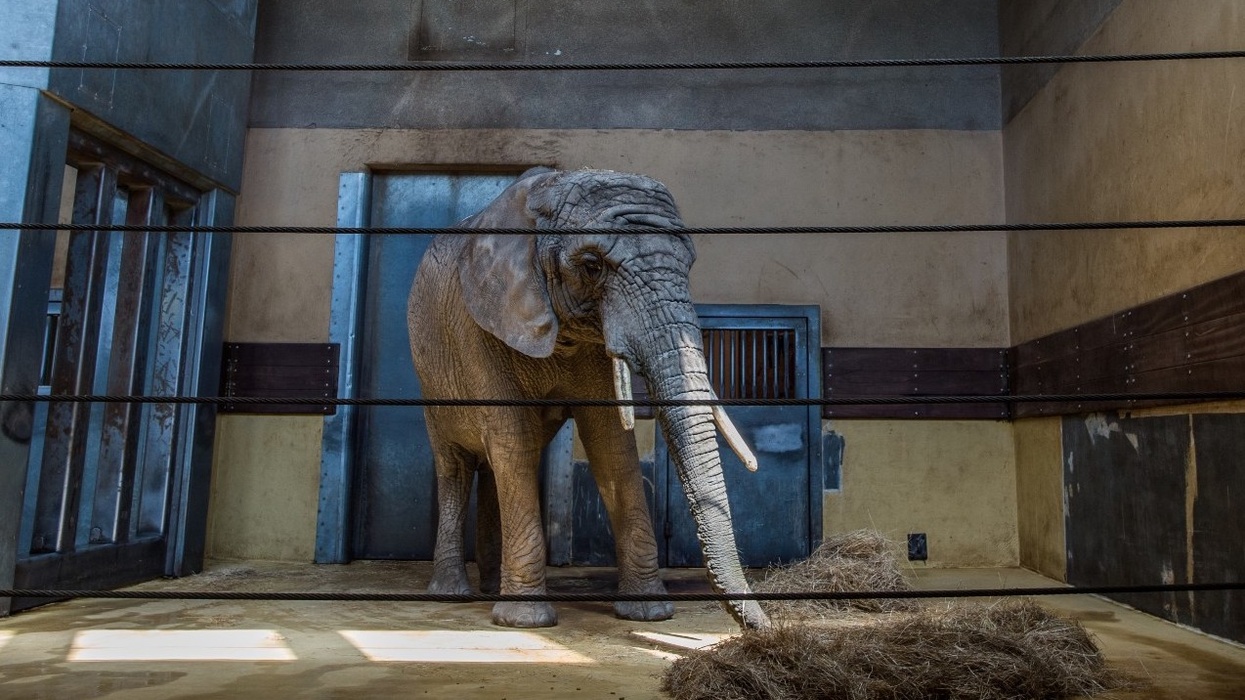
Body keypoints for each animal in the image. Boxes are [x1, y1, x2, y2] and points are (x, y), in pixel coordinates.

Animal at [407, 166, 770, 630]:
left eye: (689, 264)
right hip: (431, 377)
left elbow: (611, 442)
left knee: (492, 466)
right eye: (592, 265)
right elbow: (512, 435)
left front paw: (649, 613)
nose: (767, 627)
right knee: (456, 466)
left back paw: (489, 587)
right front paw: (527, 621)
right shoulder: (477, 325)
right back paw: (452, 594)